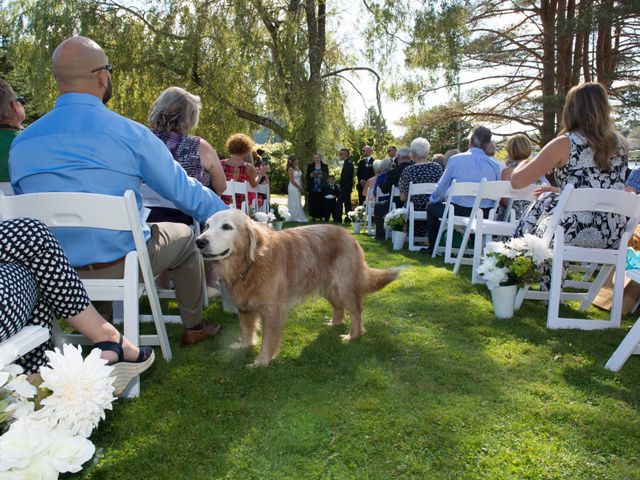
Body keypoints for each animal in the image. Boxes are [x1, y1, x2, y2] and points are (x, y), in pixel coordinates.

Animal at [195, 208, 400, 366]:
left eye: (227, 227)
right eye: (206, 226)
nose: (199, 241)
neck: (251, 264)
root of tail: (349, 236)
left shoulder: (273, 310)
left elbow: (268, 339)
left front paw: (262, 361)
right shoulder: (244, 306)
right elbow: (247, 329)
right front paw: (245, 345)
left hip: (343, 286)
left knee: (356, 310)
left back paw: (353, 335)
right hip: (328, 289)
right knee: (339, 308)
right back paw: (335, 323)